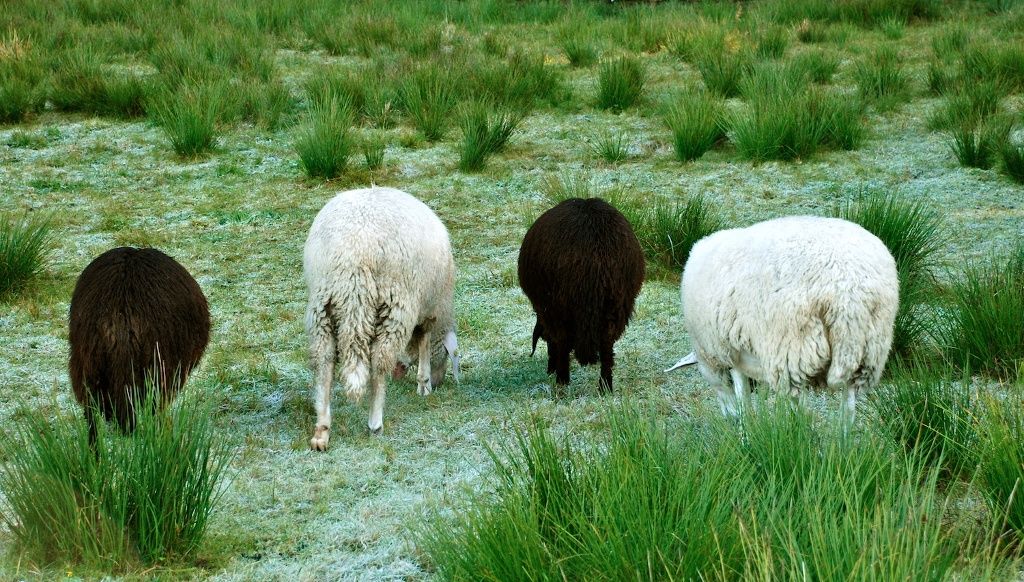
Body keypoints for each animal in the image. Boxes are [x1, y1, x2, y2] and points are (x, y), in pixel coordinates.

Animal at [304, 186, 459, 450]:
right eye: (449, 356)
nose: (440, 383)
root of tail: (355, 254)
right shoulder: (428, 310)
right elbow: (424, 342)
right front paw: (424, 383)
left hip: (322, 304)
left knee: (324, 360)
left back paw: (322, 430)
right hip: (394, 305)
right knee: (379, 361)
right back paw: (375, 423)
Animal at [518, 197, 645, 393]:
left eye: (544, 339)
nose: (549, 370)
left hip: (558, 305)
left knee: (563, 341)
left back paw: (562, 381)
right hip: (616, 303)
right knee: (607, 345)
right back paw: (605, 386)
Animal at [670, 216, 898, 423]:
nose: (729, 419)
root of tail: (848, 291)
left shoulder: (726, 350)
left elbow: (743, 398)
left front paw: (745, 430)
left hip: (792, 352)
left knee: (801, 410)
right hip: (868, 352)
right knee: (848, 411)